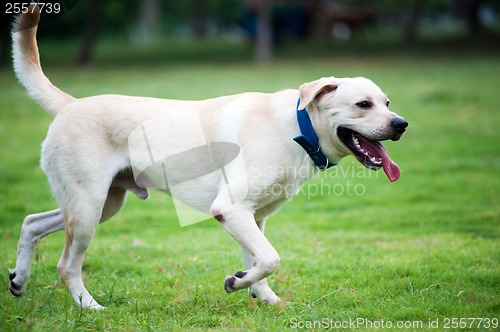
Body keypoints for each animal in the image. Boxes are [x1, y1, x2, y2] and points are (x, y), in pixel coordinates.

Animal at [9, 7, 406, 308]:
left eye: (387, 102)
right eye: (363, 105)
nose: (401, 124)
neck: (296, 126)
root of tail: (70, 104)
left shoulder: (253, 217)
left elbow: (259, 261)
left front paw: (262, 296)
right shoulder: (230, 209)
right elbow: (271, 258)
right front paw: (238, 283)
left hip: (102, 204)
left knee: (31, 222)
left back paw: (18, 279)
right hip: (88, 209)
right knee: (66, 265)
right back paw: (89, 306)